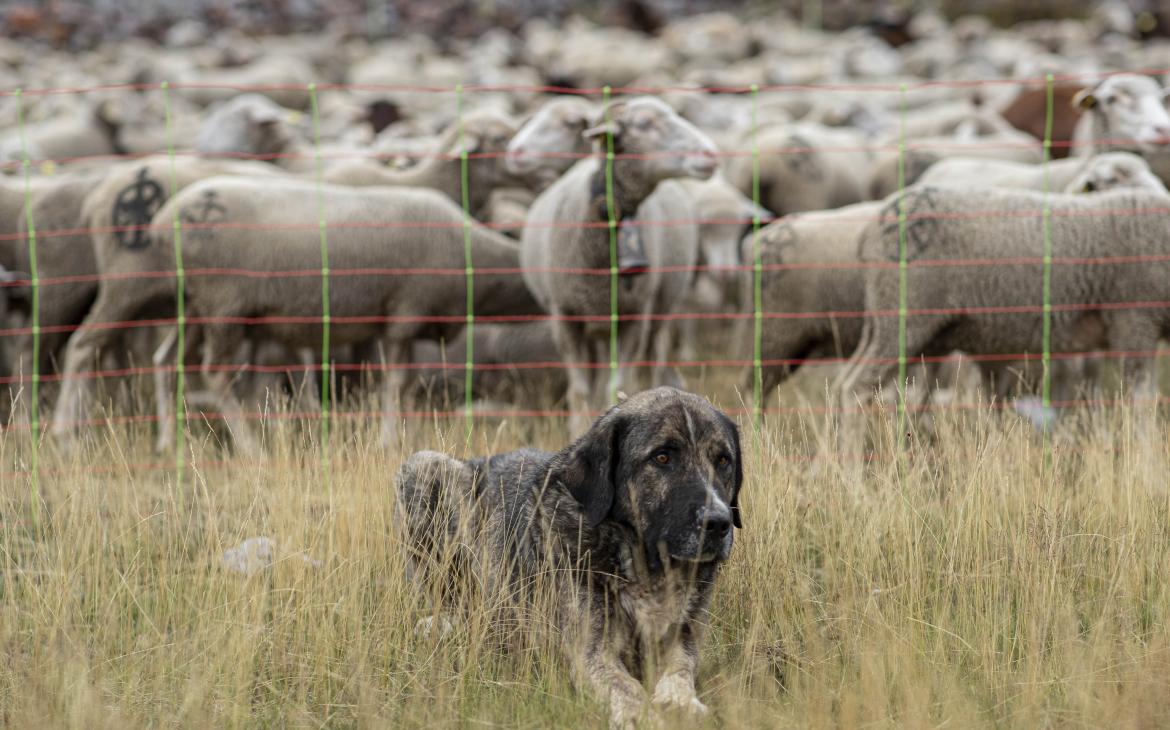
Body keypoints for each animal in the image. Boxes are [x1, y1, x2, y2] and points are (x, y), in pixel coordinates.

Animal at [393, 386, 739, 725]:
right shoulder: (591, 652)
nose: (718, 523)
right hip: (424, 467)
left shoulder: (682, 636)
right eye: (662, 457)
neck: (644, 565)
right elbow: (628, 688)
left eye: (723, 460)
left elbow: (682, 667)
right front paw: (642, 715)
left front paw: (681, 701)